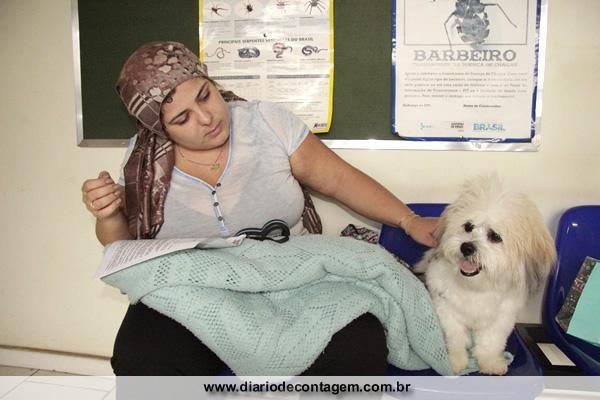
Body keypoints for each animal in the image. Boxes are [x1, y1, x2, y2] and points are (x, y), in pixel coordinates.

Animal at [415, 175, 556, 375]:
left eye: (495, 236)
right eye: (468, 226)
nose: (466, 247)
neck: (476, 287)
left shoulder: (502, 317)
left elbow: (491, 342)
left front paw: (490, 362)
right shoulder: (446, 309)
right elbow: (456, 337)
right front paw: (455, 361)